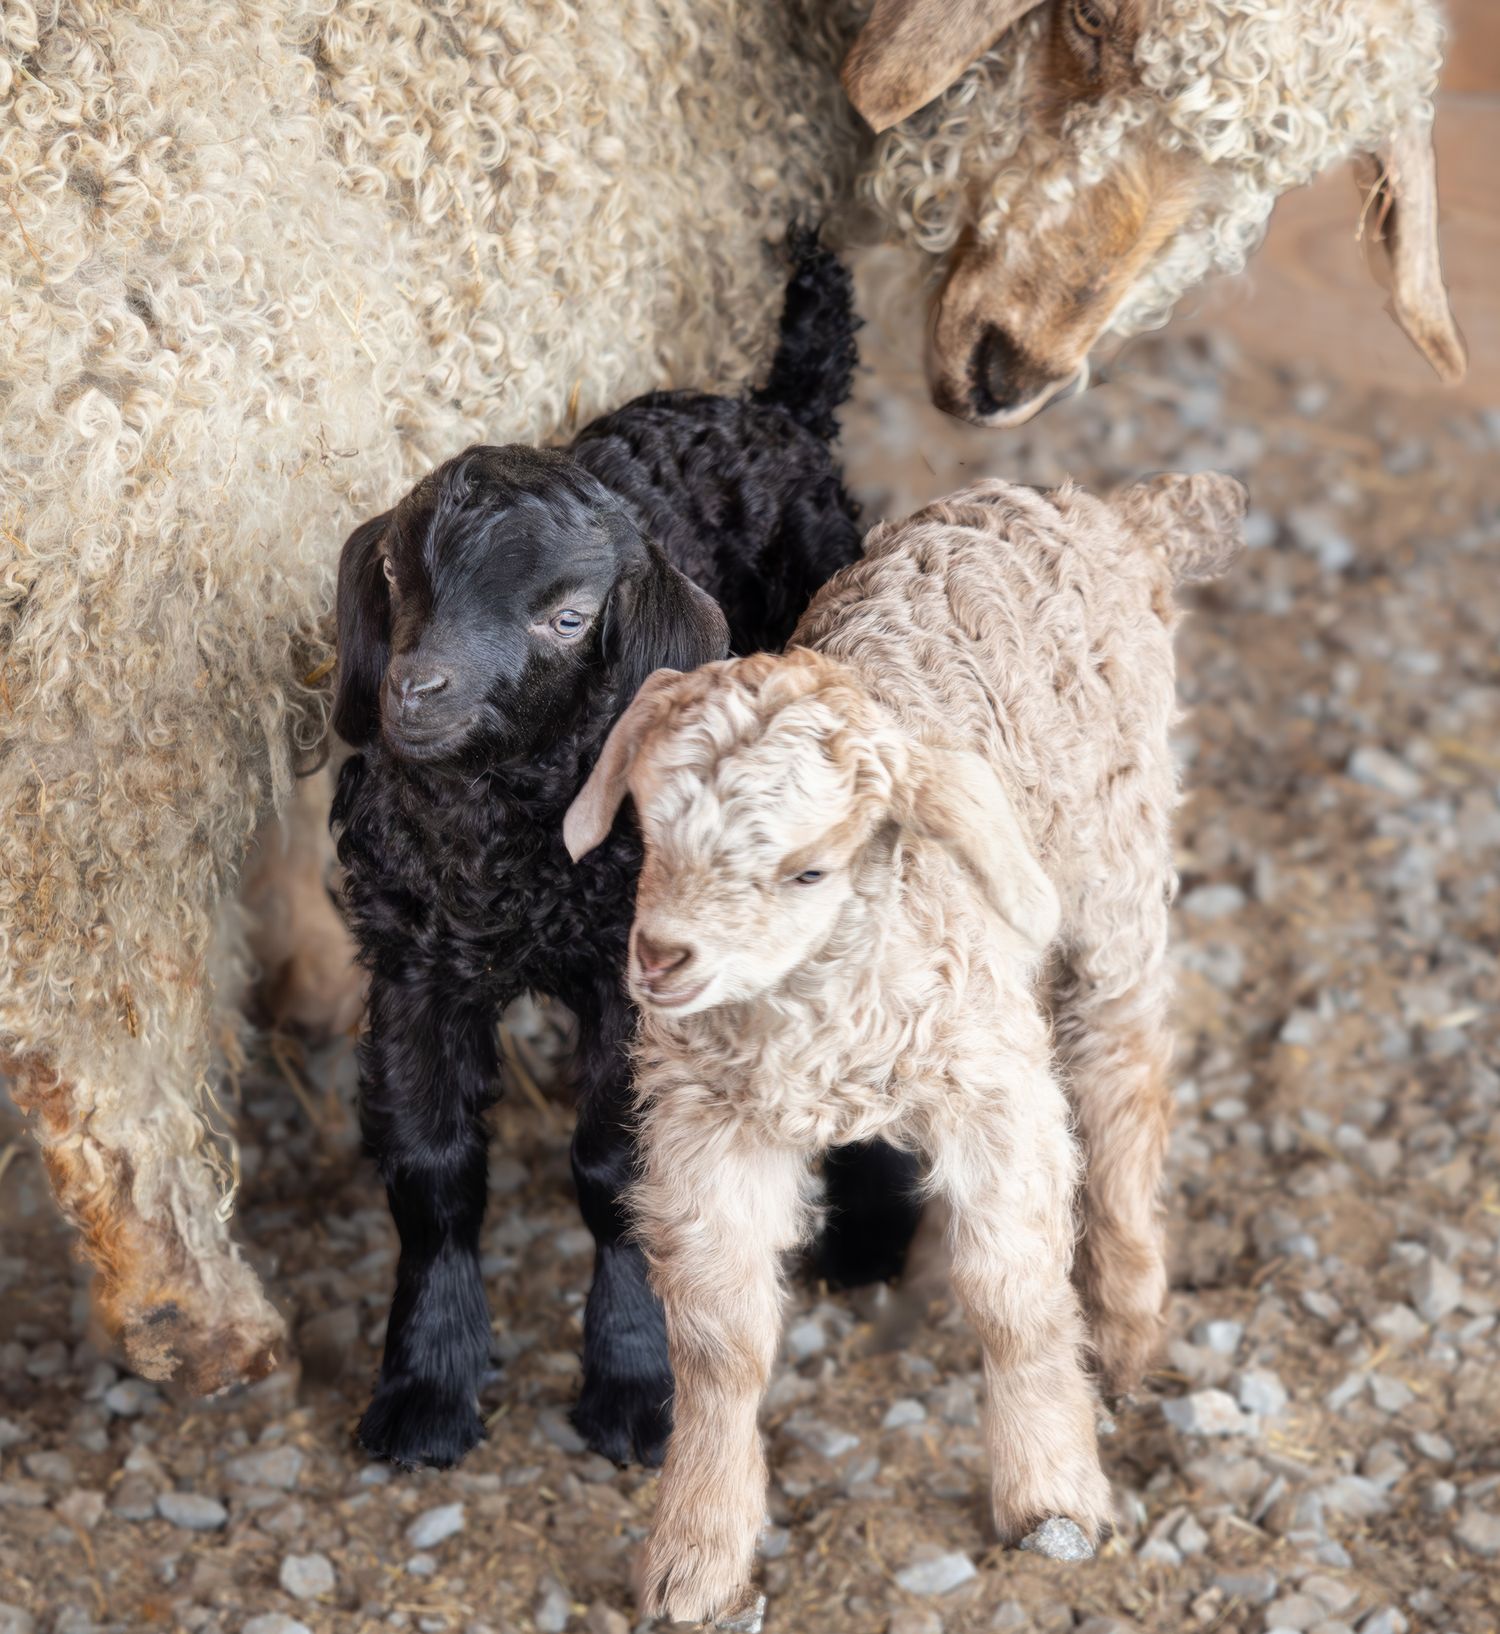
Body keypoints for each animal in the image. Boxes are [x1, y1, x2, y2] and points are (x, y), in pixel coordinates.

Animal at [566, 469, 1246, 1624]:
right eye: (650, 830)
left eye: (809, 870)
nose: (662, 959)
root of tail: (1113, 511)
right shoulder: (708, 1125)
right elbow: (718, 1344)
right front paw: (696, 1552)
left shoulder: (993, 1087)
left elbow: (1015, 1299)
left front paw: (1050, 1493)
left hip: (1116, 866)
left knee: (1124, 1077)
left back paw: (1128, 1321)